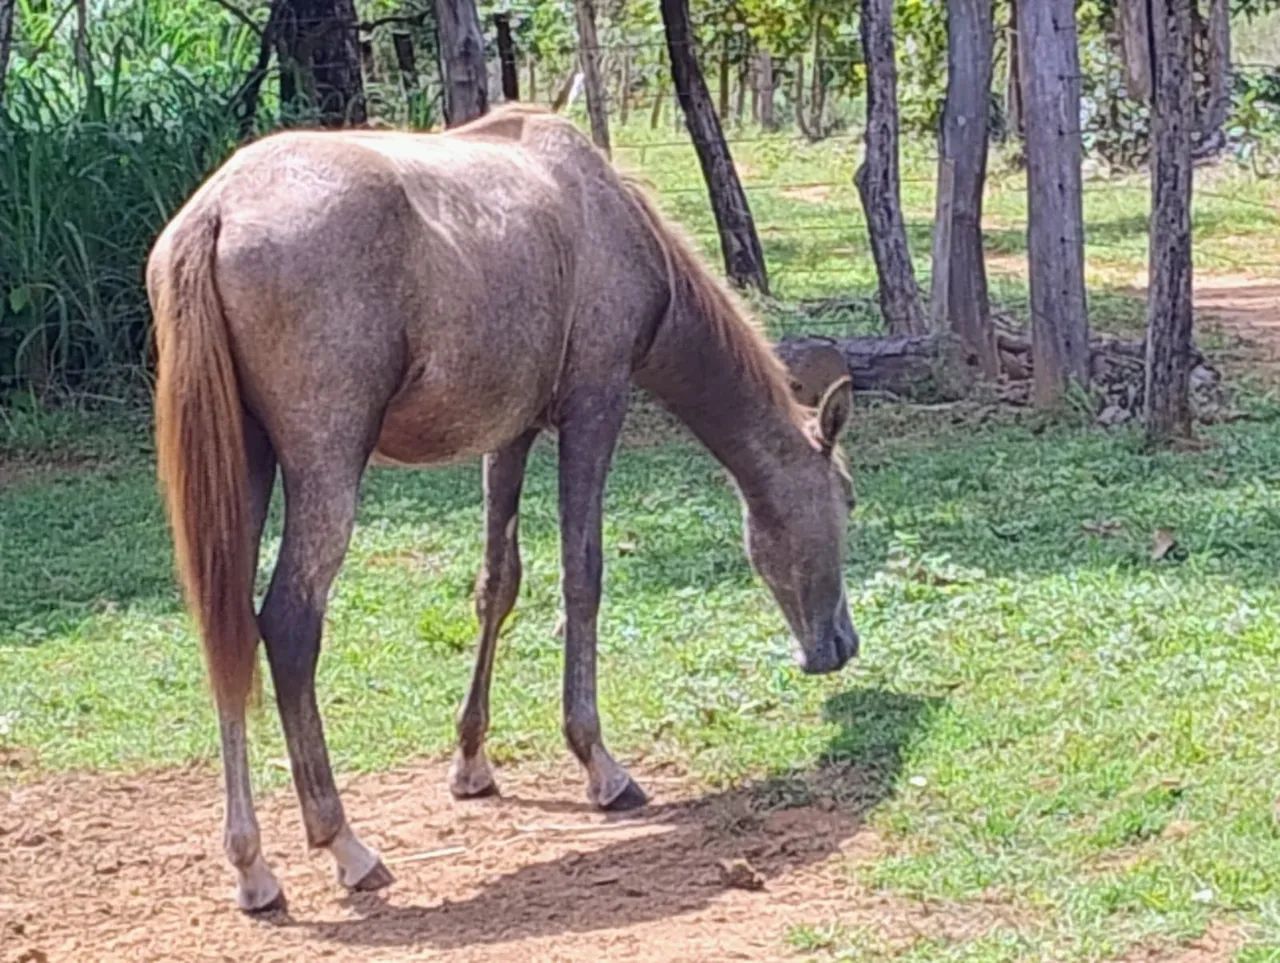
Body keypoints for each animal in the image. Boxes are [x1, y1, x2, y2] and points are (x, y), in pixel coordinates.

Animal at [147, 103, 858, 913]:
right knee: (290, 627)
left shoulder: (510, 432)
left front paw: (471, 761)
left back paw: (252, 866)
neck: (609, 217)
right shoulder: (595, 403)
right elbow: (583, 577)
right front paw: (600, 763)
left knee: (228, 635)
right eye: (847, 498)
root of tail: (216, 212)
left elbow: (498, 583)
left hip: (246, 464)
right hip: (325, 465)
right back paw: (345, 845)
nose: (838, 645)